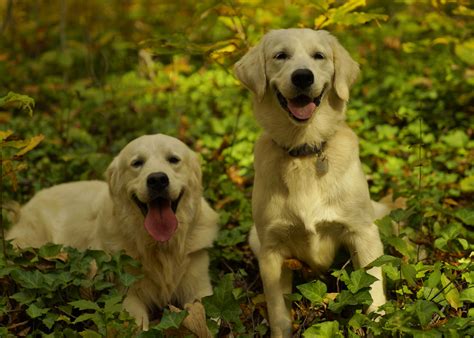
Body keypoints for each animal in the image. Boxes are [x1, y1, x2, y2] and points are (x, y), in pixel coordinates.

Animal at [7, 133, 218, 332]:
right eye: (137, 163)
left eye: (173, 159)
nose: (157, 179)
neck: (159, 247)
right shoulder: (125, 292)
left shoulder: (200, 287)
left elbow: (211, 316)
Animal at [235, 29, 386, 338]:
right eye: (280, 56)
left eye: (319, 56)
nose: (303, 77)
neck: (304, 150)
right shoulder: (272, 250)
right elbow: (278, 312)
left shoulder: (363, 233)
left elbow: (373, 289)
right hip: (255, 237)